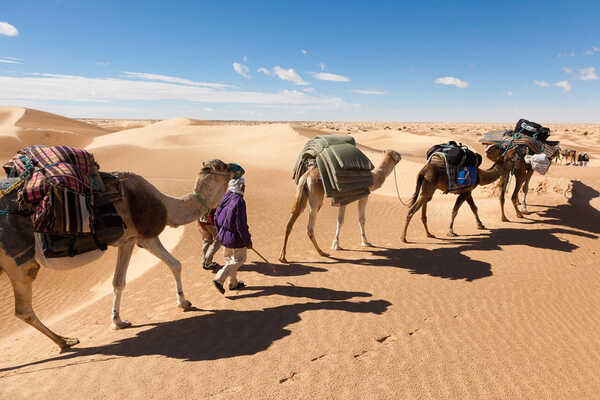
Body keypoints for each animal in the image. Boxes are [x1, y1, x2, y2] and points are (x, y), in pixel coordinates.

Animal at [0, 159, 232, 350]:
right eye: (221, 166)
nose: (236, 168)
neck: (166, 206)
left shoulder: (132, 240)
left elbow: (124, 279)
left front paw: (118, 321)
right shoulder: (140, 237)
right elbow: (169, 266)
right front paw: (182, 303)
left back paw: (63, 341)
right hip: (17, 260)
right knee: (23, 308)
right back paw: (65, 341)